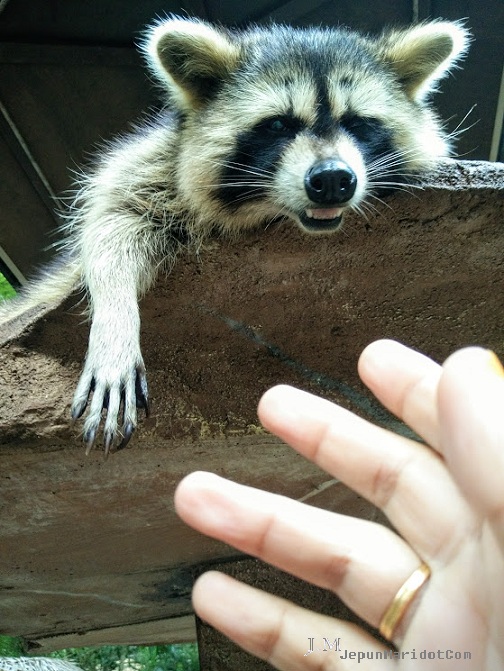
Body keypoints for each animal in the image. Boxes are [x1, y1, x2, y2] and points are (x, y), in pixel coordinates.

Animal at [0, 17, 468, 456]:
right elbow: (110, 226)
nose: (334, 180)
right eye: (278, 125)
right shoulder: (153, 161)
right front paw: (115, 321)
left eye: (357, 122)